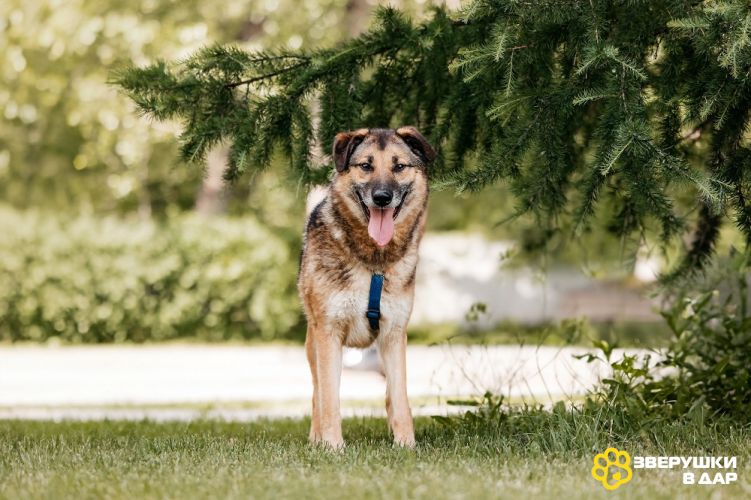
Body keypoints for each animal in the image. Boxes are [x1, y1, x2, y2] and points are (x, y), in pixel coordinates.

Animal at [298, 126, 436, 449]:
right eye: (365, 166)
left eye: (399, 166)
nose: (382, 197)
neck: (374, 260)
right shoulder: (328, 333)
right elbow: (329, 399)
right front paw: (332, 446)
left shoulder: (394, 335)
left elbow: (400, 398)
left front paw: (406, 444)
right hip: (314, 344)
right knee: (317, 393)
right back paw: (316, 439)